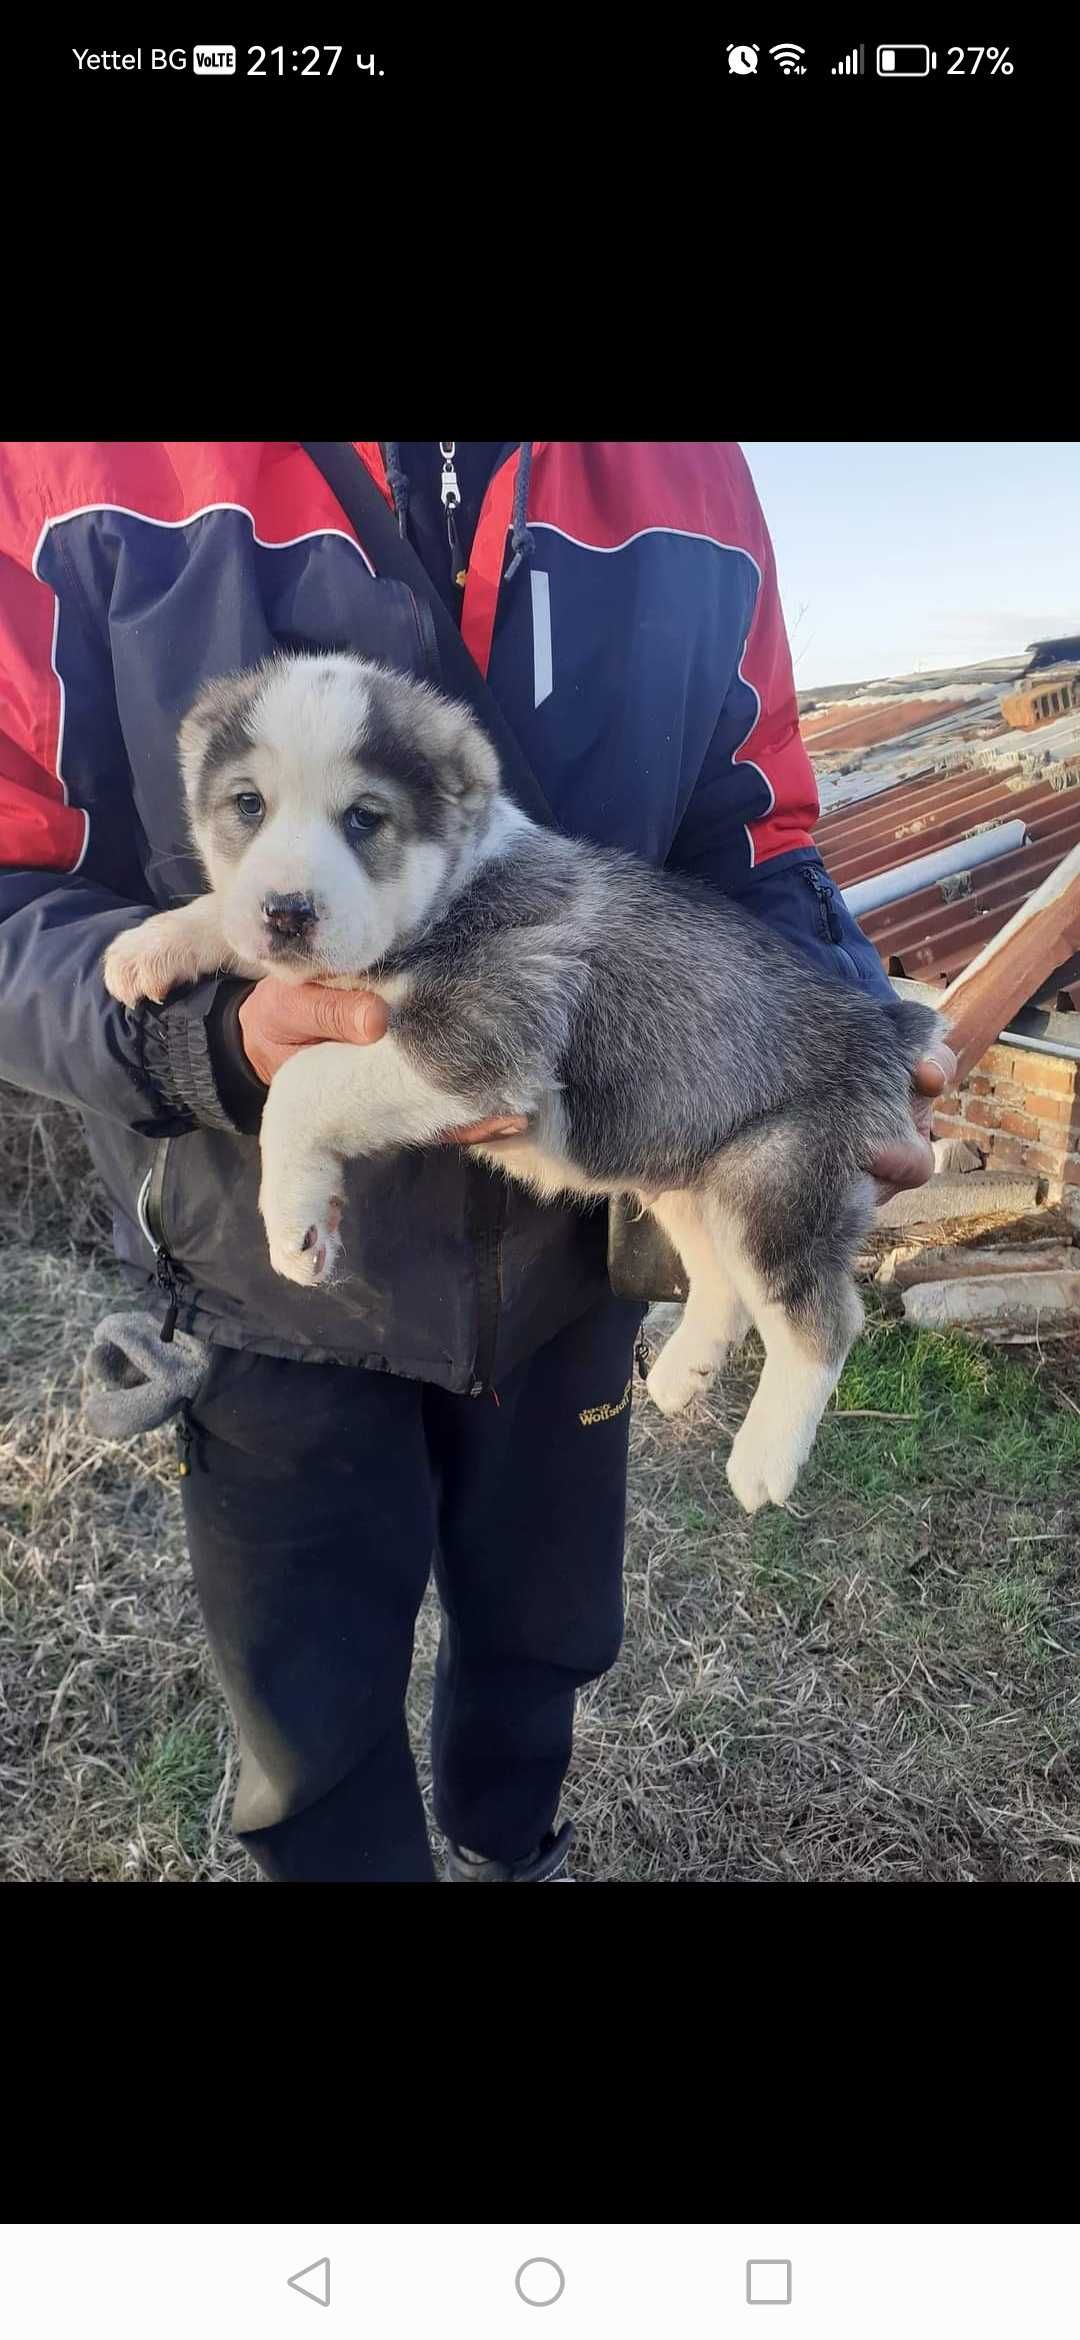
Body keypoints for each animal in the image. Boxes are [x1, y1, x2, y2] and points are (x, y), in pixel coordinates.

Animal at [105, 650, 939, 1506]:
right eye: (248, 804)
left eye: (365, 818)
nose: (287, 912)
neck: (452, 891)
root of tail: (885, 1026)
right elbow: (228, 920)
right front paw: (154, 944)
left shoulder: (479, 1037)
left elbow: (301, 1085)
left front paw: (292, 1225)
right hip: (685, 1173)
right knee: (720, 1281)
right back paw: (684, 1372)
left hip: (772, 1183)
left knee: (820, 1318)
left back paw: (766, 1456)